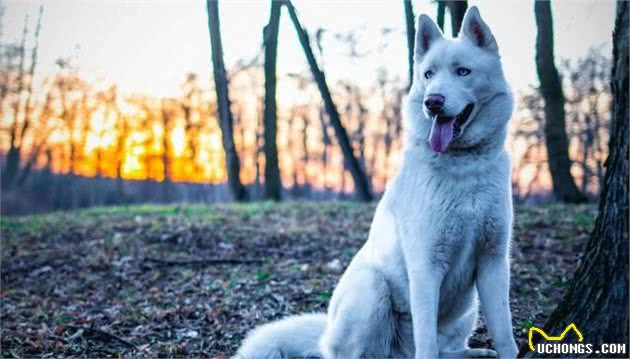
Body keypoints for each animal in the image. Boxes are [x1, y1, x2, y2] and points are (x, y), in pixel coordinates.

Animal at [236, 6, 520, 359]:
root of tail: (325, 333)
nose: (432, 102)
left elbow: (505, 333)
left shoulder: (494, 262)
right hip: (372, 288)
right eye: (428, 74)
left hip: (467, 308)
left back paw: (471, 353)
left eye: (463, 72)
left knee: (445, 349)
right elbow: (427, 344)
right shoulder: (425, 268)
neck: (464, 166)